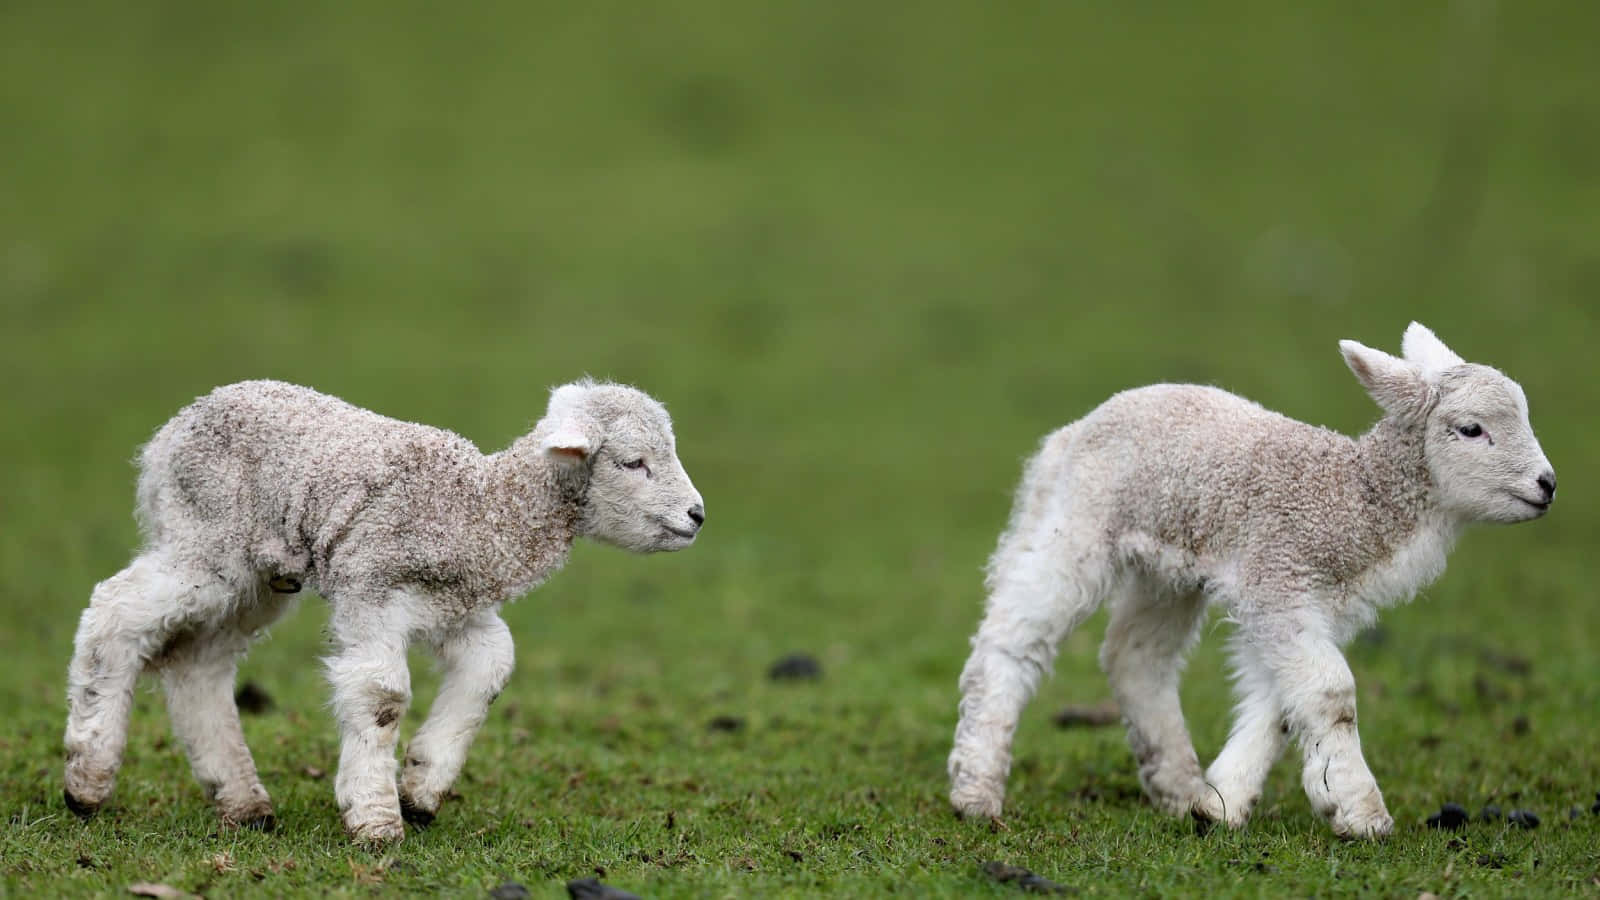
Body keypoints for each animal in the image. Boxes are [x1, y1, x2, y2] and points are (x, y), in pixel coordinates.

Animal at [63, 378, 705, 843]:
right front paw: (376, 820)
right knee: (114, 611)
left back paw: (243, 803)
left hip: (256, 580)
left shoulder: (454, 609)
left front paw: (421, 788)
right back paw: (87, 780)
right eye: (633, 462)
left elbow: (492, 668)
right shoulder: (370, 590)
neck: (482, 508)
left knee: (199, 664)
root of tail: (168, 434)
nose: (698, 515)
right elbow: (382, 697)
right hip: (205, 544)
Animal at [948, 323, 1555, 839]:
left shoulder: (1310, 605)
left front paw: (1219, 803)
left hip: (1165, 569)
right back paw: (976, 790)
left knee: (1134, 656)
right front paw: (1362, 813)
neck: (1352, 498)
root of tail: (1072, 432)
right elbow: (1332, 692)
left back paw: (1177, 787)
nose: (1547, 484)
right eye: (1471, 429)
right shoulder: (1278, 579)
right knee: (1012, 640)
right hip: (1077, 525)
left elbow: (1282, 706)